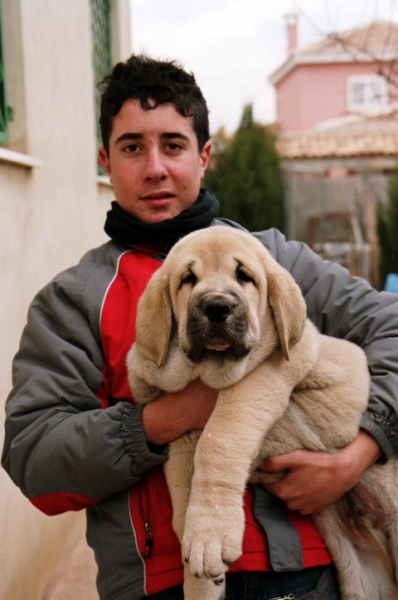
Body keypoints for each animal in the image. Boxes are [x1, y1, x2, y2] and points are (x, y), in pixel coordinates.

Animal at [127, 224, 398, 600]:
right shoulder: (181, 436)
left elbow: (218, 440)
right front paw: (201, 566)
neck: (203, 371)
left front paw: (211, 533)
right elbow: (183, 505)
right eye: (187, 278)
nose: (217, 307)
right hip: (357, 563)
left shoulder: (264, 376)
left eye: (244, 276)